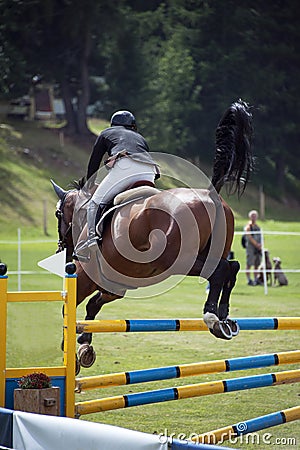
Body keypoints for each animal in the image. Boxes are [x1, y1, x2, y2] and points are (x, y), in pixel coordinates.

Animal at [51, 100, 253, 370]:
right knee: (232, 266)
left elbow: (70, 309)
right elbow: (92, 306)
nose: (63, 250)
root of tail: (210, 195)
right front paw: (84, 345)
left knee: (220, 270)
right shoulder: (114, 286)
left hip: (179, 260)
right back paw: (223, 317)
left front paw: (71, 349)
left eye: (58, 214)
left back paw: (212, 316)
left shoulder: (85, 277)